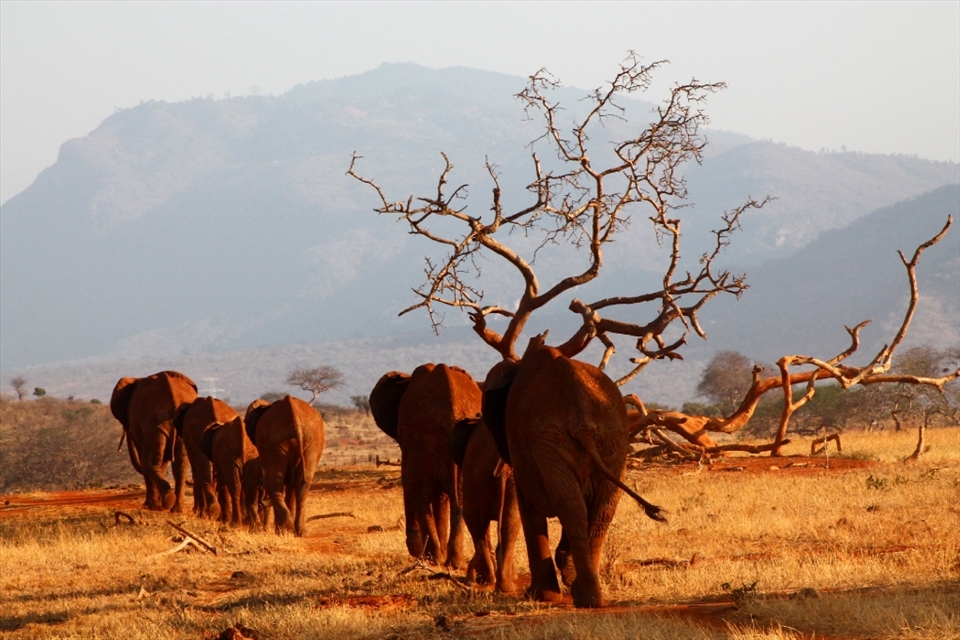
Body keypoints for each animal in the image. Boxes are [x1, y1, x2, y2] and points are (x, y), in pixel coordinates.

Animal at [110, 371, 198, 511]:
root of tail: (174, 398)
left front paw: (149, 505)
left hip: (154, 422)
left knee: (150, 461)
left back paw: (162, 502)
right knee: (180, 464)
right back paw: (175, 508)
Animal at [244, 396, 324, 536]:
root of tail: (294, 417)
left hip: (276, 442)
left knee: (274, 483)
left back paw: (285, 530)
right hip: (308, 441)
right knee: (303, 484)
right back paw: (299, 531)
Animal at [370, 363, 481, 569]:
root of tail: (452, 406)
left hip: (422, 440)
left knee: (421, 494)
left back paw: (432, 558)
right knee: (459, 498)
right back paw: (452, 562)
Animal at [450, 417, 520, 592]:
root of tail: (504, 469)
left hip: (478, 478)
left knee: (477, 522)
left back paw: (490, 580)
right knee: (507, 522)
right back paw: (502, 584)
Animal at [482, 335, 666, 608]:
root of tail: (582, 417)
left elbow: (529, 507)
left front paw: (539, 595)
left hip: (555, 441)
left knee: (572, 506)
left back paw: (577, 594)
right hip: (610, 440)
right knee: (594, 508)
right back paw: (588, 595)